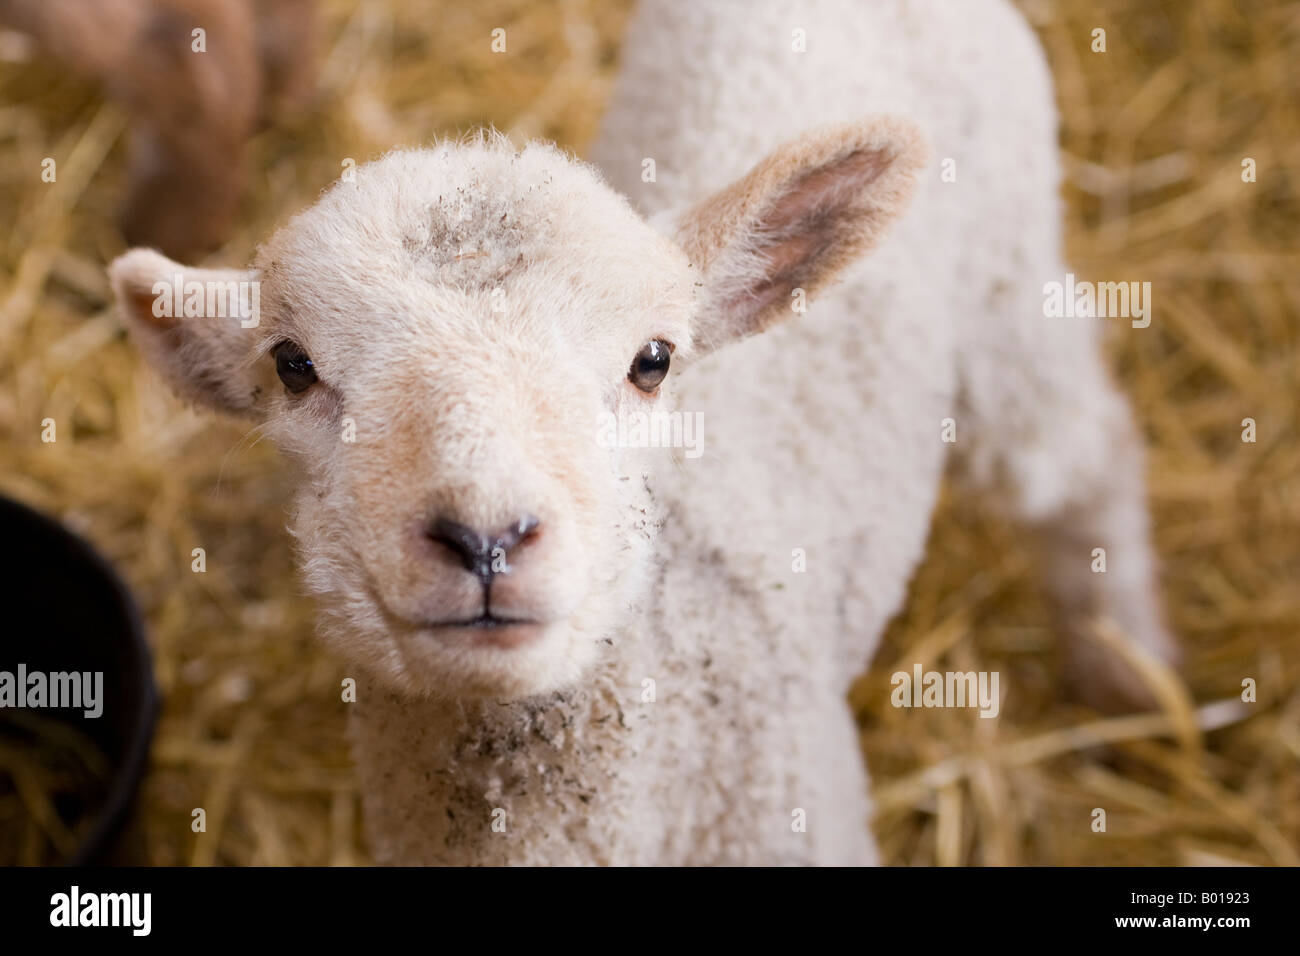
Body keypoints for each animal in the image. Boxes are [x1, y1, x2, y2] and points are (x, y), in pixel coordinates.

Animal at [106, 0, 1175, 868]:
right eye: (292, 366)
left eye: (652, 360)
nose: (487, 541)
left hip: (1008, 278)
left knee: (1090, 452)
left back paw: (1129, 663)